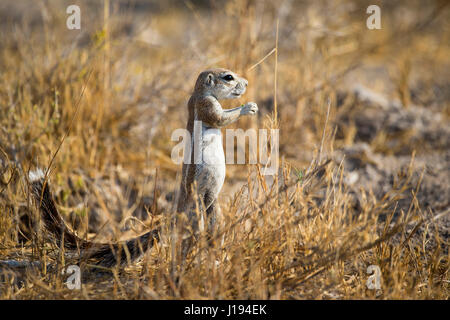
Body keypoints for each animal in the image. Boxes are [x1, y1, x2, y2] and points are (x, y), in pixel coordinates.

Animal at [29, 68, 256, 268]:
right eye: (228, 77)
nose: (246, 83)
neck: (199, 92)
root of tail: (178, 211)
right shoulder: (206, 105)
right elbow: (221, 118)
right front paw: (248, 107)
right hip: (195, 215)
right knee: (187, 243)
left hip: (212, 208)